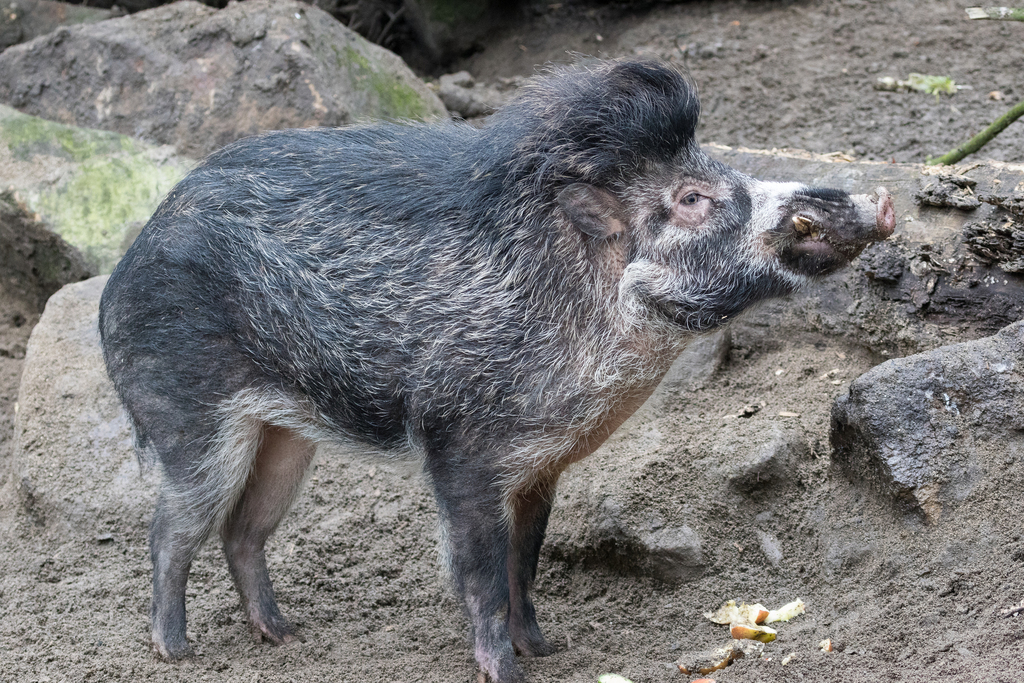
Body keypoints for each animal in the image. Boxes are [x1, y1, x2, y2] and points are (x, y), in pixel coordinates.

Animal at [98, 59, 894, 683]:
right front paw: (505, 670)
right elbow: (479, 570)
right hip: (190, 417)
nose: (876, 200)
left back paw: (288, 637)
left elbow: (526, 561)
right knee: (170, 529)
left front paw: (547, 650)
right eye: (692, 199)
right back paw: (178, 652)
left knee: (243, 531)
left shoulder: (542, 466)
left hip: (286, 436)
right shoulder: (459, 449)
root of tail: (127, 266)